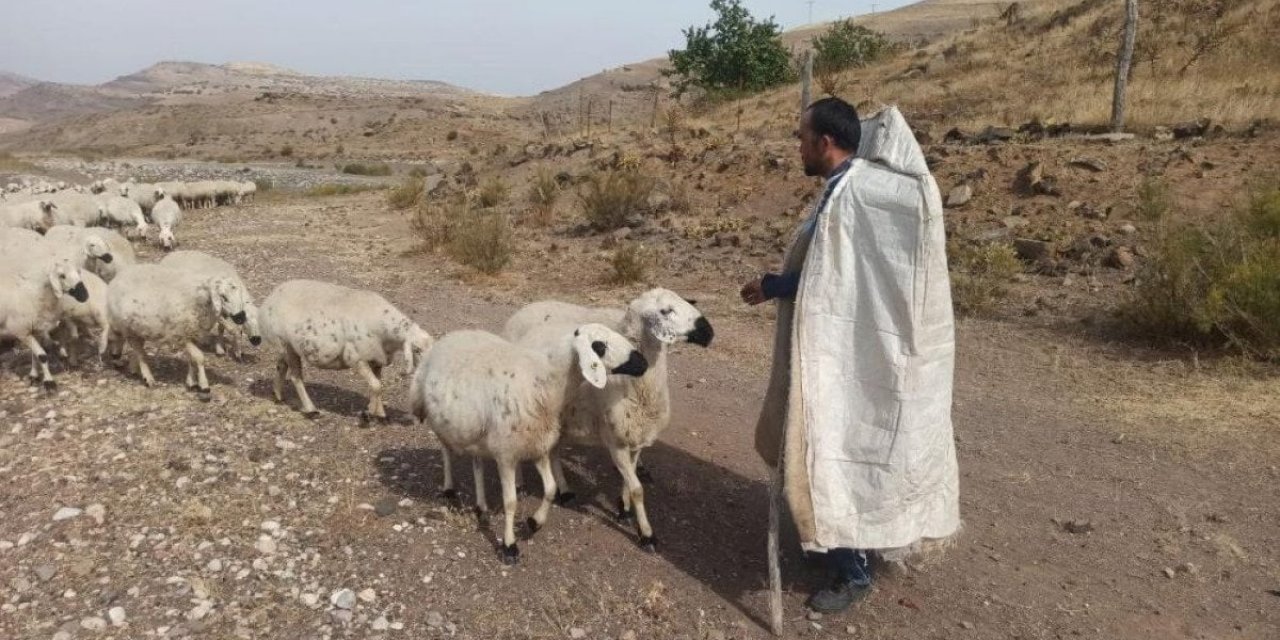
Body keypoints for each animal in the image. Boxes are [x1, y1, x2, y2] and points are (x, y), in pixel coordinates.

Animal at [0, 252, 90, 386]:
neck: (35, 297)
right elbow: (42, 356)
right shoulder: (21, 331)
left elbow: (35, 355)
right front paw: (49, 382)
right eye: (62, 276)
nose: (84, 295)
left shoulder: (35, 330)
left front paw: (33, 375)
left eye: (78, 272)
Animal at [108, 261, 254, 394]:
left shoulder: (191, 334)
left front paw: (191, 382)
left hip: (139, 328)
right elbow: (199, 357)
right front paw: (204, 386)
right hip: (127, 328)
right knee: (140, 352)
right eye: (223, 296)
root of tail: (118, 277)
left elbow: (192, 359)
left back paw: (134, 369)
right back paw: (148, 378)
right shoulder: (181, 334)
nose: (241, 316)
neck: (199, 299)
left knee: (137, 350)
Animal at [259, 280, 435, 424]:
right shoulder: (357, 358)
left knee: (281, 366)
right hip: (287, 345)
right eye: (417, 350)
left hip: (285, 346)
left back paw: (278, 396)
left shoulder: (376, 359)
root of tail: (271, 298)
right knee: (296, 377)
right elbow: (376, 386)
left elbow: (377, 386)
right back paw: (311, 410)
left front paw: (380, 414)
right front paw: (368, 414)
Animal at [409, 322, 650, 563]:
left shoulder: (538, 447)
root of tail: (446, 339)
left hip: (476, 429)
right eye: (599, 346)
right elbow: (510, 502)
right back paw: (449, 489)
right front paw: (509, 545)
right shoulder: (506, 455)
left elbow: (551, 489)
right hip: (439, 421)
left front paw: (535, 523)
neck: (546, 379)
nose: (643, 363)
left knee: (477, 462)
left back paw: (481, 507)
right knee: (446, 451)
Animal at [501, 286, 721, 550]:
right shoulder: (615, 443)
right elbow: (638, 489)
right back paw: (521, 485)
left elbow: (630, 480)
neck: (636, 388)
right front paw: (646, 533)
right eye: (665, 311)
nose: (708, 332)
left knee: (554, 452)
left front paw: (623, 508)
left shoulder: (635, 441)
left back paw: (564, 491)